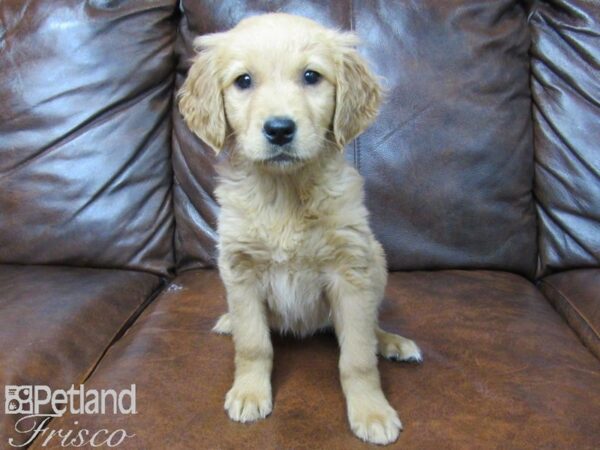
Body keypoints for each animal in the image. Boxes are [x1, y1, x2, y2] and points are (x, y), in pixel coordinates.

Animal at [178, 12, 422, 444]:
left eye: (311, 76)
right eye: (243, 80)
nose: (279, 129)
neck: (285, 192)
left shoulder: (350, 271)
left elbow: (357, 357)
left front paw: (371, 411)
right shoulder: (240, 269)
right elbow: (253, 344)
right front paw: (249, 392)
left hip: (376, 260)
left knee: (371, 326)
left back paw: (392, 342)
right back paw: (229, 322)